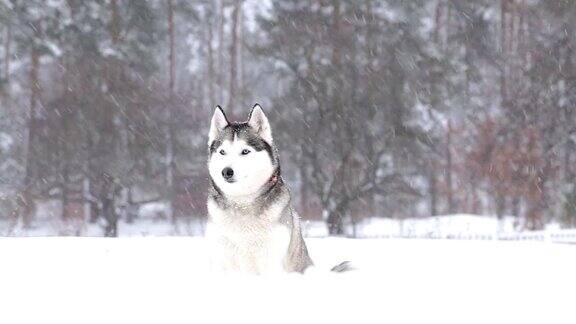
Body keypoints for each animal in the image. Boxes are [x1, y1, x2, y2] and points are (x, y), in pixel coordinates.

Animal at [205, 104, 312, 274]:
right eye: (222, 152)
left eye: (245, 151)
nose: (226, 171)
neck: (242, 203)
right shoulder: (222, 257)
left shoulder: (270, 258)